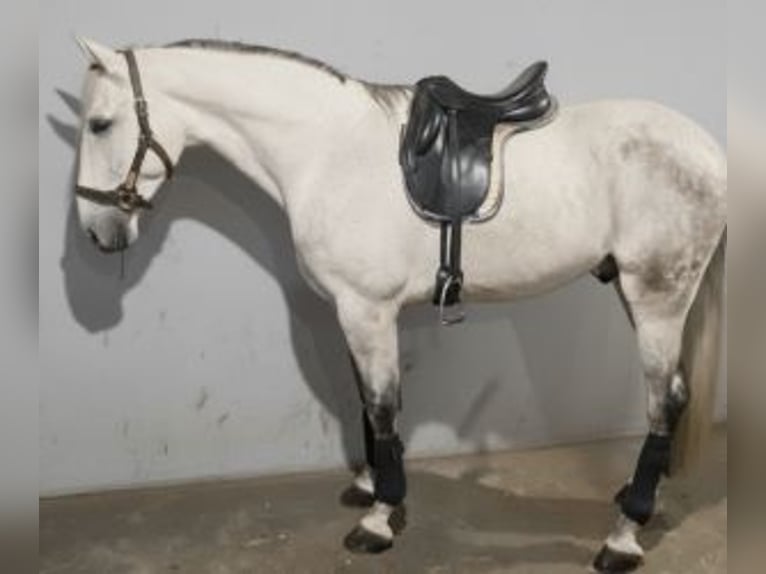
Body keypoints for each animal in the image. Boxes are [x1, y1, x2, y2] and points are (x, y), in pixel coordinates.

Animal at [71, 37, 726, 572]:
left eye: (100, 124)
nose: (98, 232)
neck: (325, 150)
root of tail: (708, 151)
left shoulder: (366, 308)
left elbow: (383, 407)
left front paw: (379, 519)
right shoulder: (354, 310)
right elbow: (367, 401)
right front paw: (370, 486)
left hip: (657, 297)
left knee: (663, 404)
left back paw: (623, 535)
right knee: (676, 396)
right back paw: (638, 501)